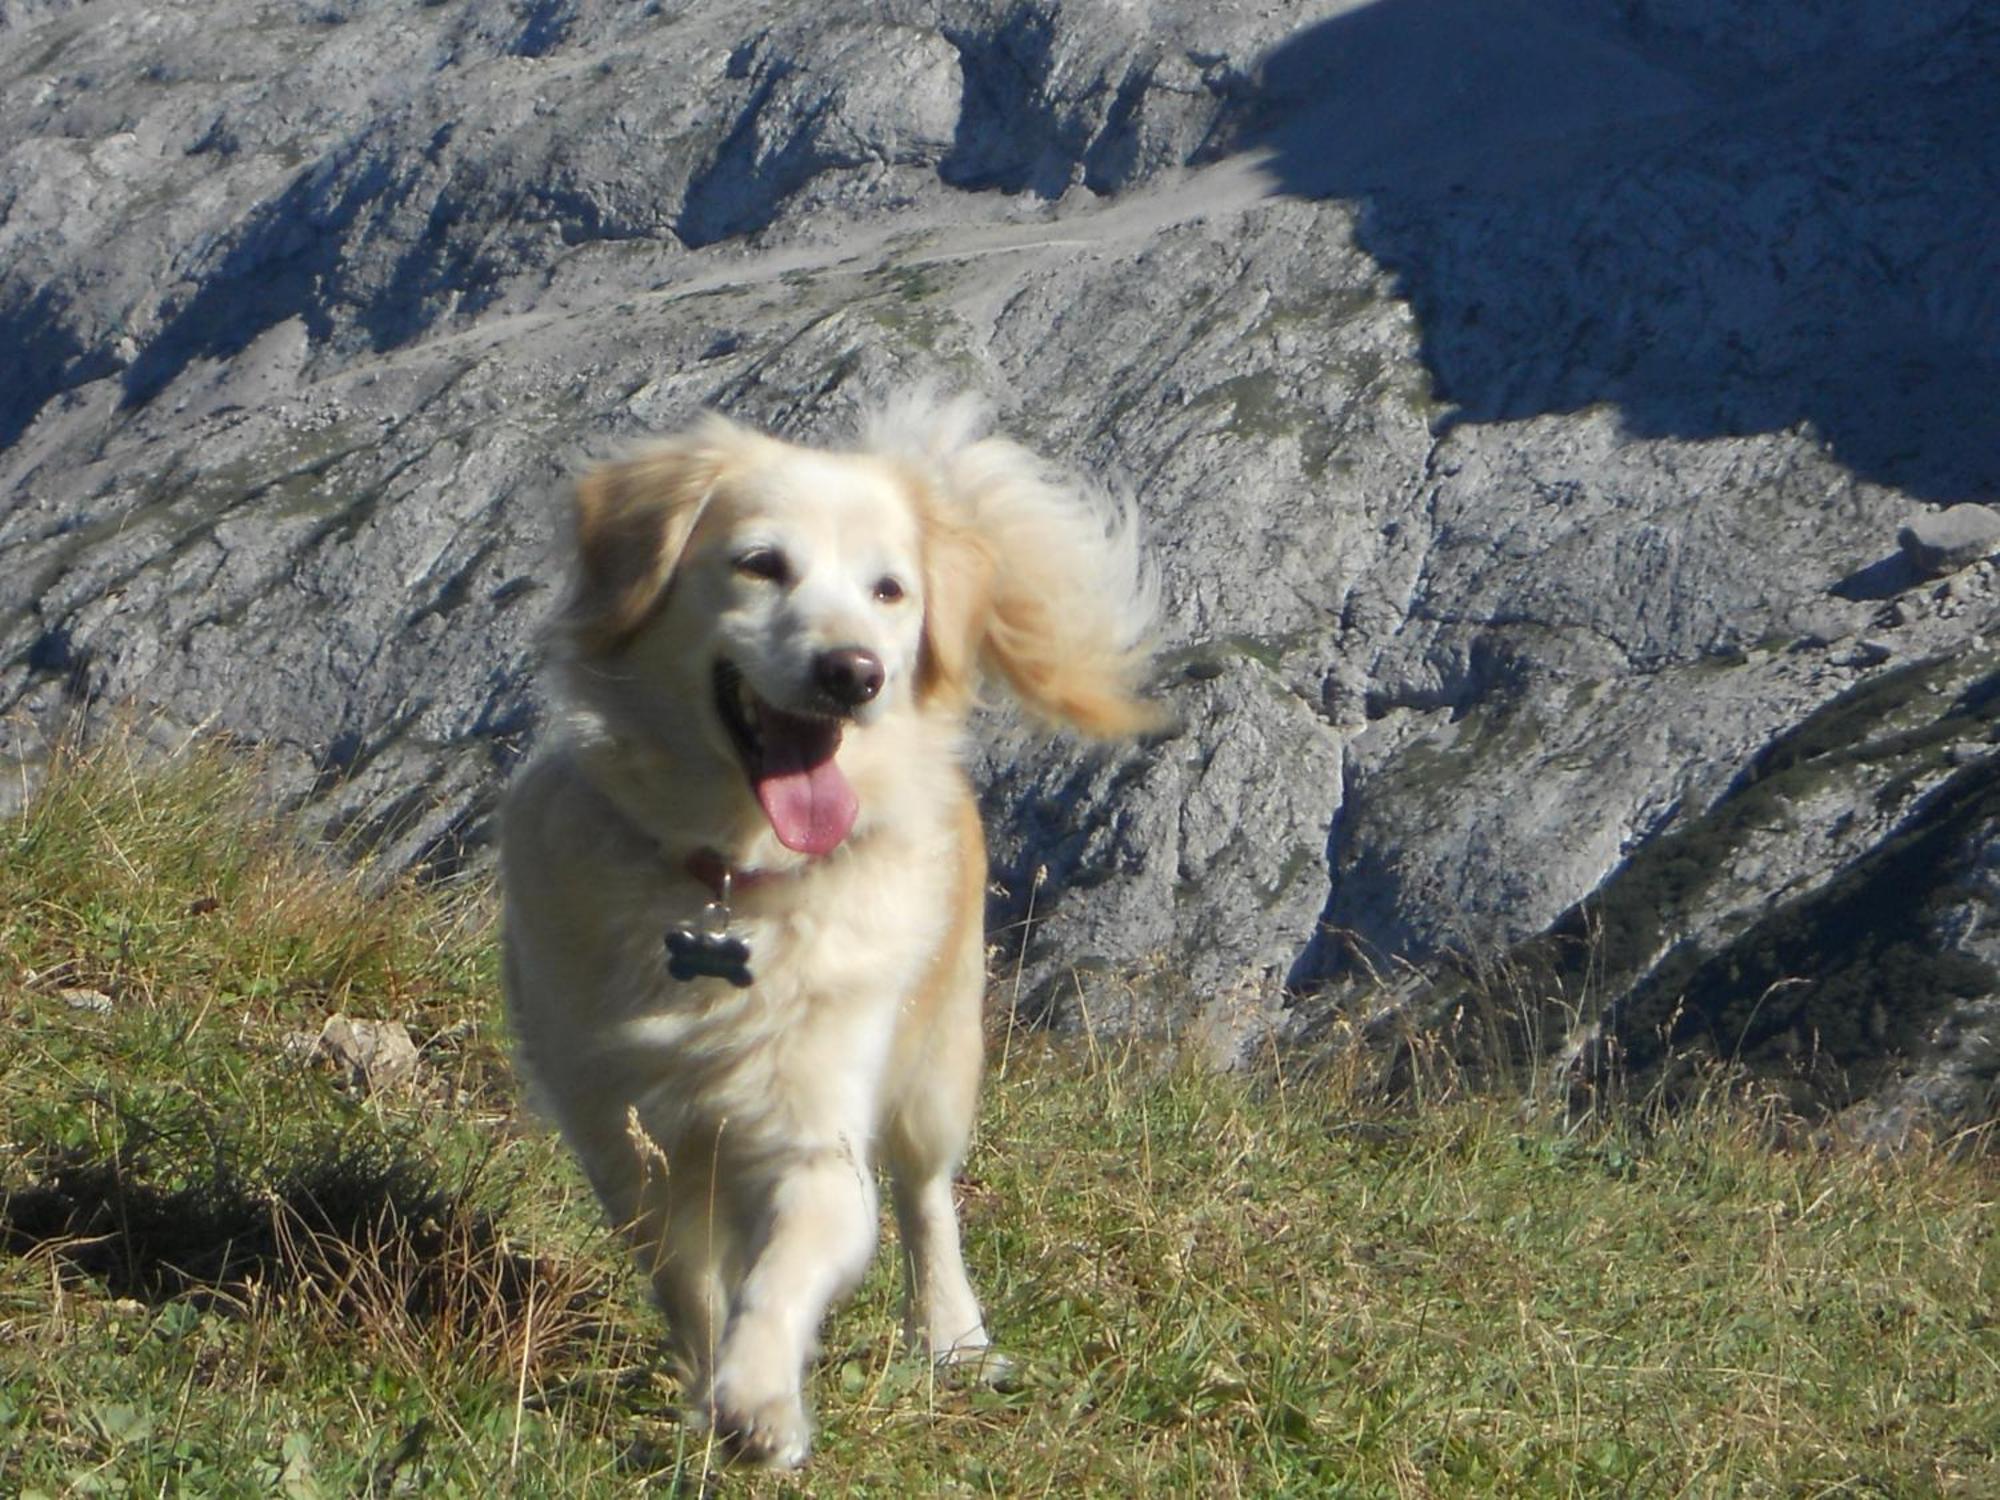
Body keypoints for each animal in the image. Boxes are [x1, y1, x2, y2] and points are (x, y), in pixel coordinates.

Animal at [500, 396, 1160, 1472]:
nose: (854, 673)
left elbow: (785, 1272)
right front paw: (706, 1386)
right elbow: (685, 1277)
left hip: (937, 1063)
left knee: (928, 1201)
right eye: (760, 563)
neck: (734, 878)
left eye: (889, 591)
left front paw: (759, 1400)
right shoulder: (618, 1131)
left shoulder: (817, 1137)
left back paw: (954, 1337)